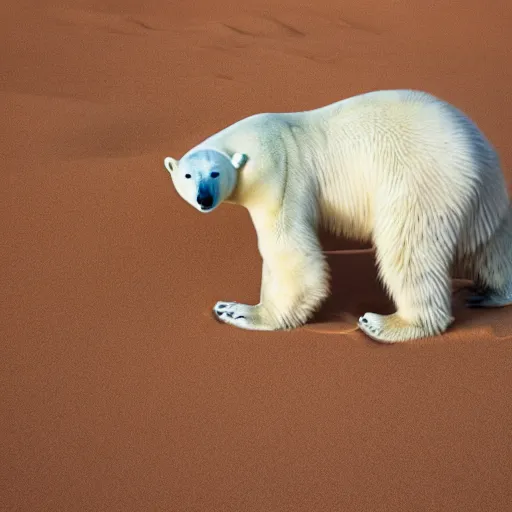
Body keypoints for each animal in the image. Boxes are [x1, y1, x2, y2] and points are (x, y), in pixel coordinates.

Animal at [165, 89, 512, 342]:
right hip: (486, 196)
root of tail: (475, 153)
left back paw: (386, 323)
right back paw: (491, 293)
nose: (204, 198)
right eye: (187, 176)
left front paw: (241, 311)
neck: (251, 144)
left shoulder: (280, 173)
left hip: (421, 181)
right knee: (491, 246)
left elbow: (289, 251)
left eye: (215, 172)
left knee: (408, 249)